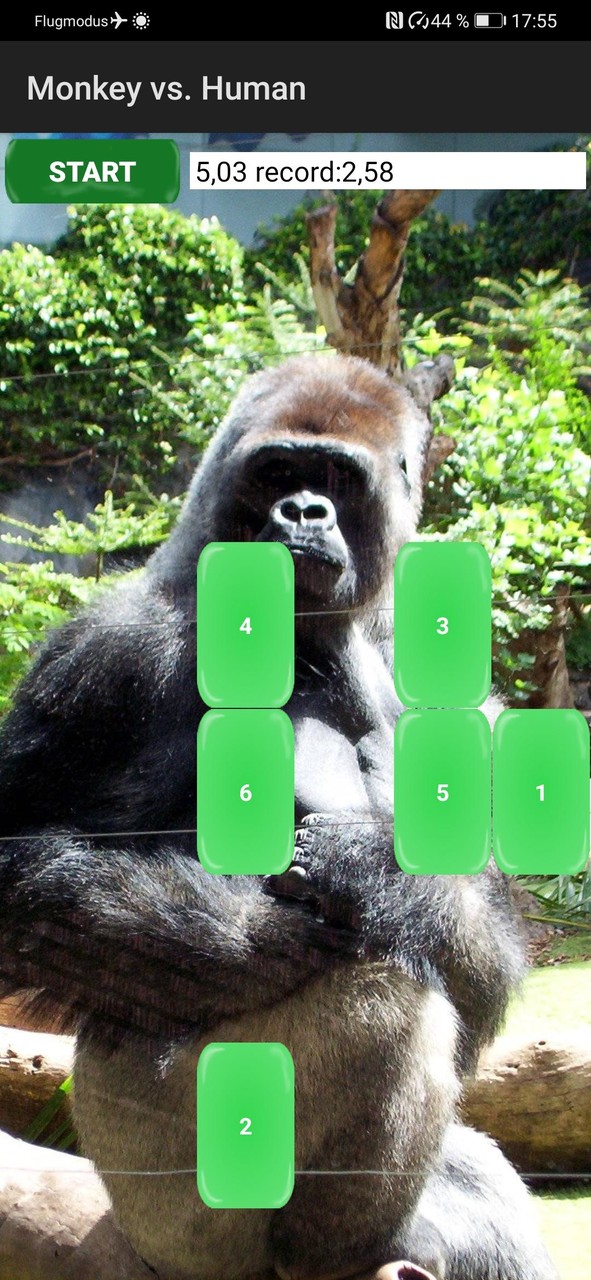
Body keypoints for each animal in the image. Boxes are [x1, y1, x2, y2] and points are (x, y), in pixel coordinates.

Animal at [0, 354, 557, 1280]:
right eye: (276, 474)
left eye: (333, 478)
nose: (302, 513)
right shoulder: (110, 652)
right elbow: (21, 870)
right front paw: (258, 938)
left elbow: (484, 951)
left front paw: (374, 873)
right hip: (173, 1215)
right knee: (381, 998)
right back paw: (333, 1254)